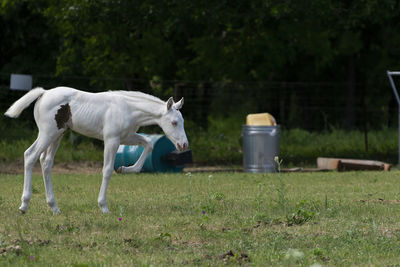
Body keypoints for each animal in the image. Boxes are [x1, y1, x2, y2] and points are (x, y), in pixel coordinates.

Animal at [4, 87, 189, 215]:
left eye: (182, 121)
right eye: (174, 122)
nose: (184, 145)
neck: (127, 109)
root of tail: (44, 93)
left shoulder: (127, 137)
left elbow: (149, 144)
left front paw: (125, 169)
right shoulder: (112, 140)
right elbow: (107, 171)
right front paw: (104, 207)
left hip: (57, 135)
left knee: (45, 162)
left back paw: (54, 207)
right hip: (47, 133)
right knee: (30, 156)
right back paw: (24, 205)